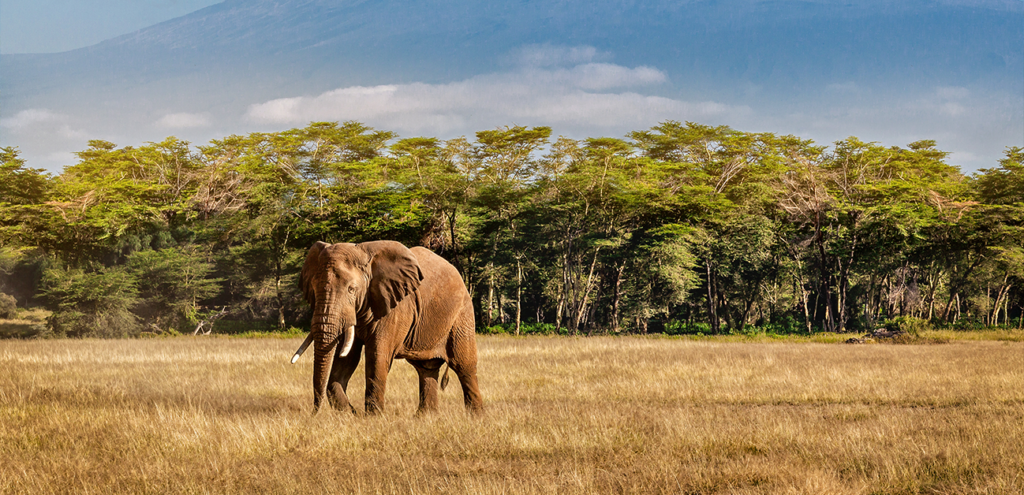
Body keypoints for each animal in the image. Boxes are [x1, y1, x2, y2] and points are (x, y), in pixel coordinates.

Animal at [286, 239, 481, 414]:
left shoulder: (396, 307)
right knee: (426, 368)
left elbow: (377, 355)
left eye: (351, 289)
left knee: (464, 366)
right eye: (314, 289)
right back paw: (426, 418)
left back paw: (475, 417)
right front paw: (351, 414)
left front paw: (373, 417)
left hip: (462, 314)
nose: (314, 412)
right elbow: (347, 357)